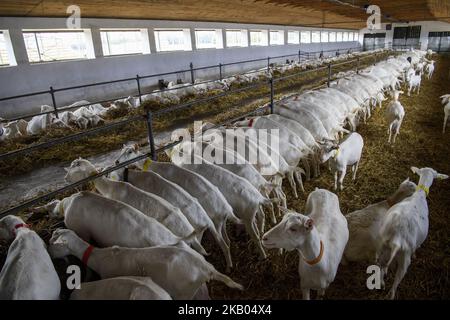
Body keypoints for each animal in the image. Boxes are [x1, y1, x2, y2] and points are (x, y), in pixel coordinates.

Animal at [378, 166, 448, 298]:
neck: (419, 195)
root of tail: (396, 238)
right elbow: (417, 247)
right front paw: (415, 254)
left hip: (382, 246)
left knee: (379, 265)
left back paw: (381, 282)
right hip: (404, 259)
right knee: (395, 285)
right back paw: (390, 293)